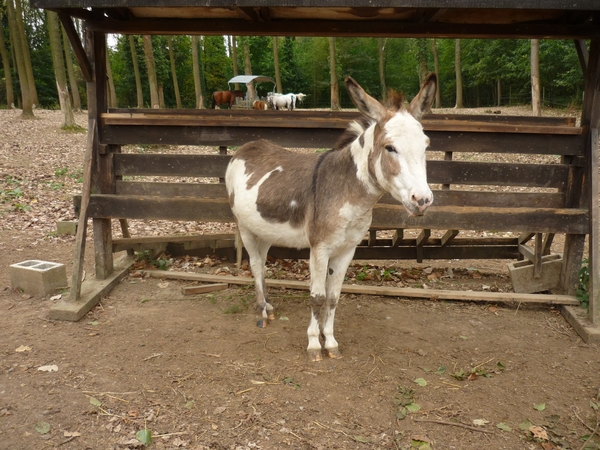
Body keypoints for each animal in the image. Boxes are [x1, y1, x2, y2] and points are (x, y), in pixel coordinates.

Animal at [225, 74, 436, 362]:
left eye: (426, 145)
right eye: (390, 148)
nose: (422, 200)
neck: (348, 192)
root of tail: (246, 147)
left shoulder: (347, 249)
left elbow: (334, 296)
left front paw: (331, 341)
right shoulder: (320, 248)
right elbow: (317, 296)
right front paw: (315, 344)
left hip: (265, 229)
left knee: (263, 262)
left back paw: (269, 306)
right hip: (245, 226)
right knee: (255, 265)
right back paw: (261, 313)